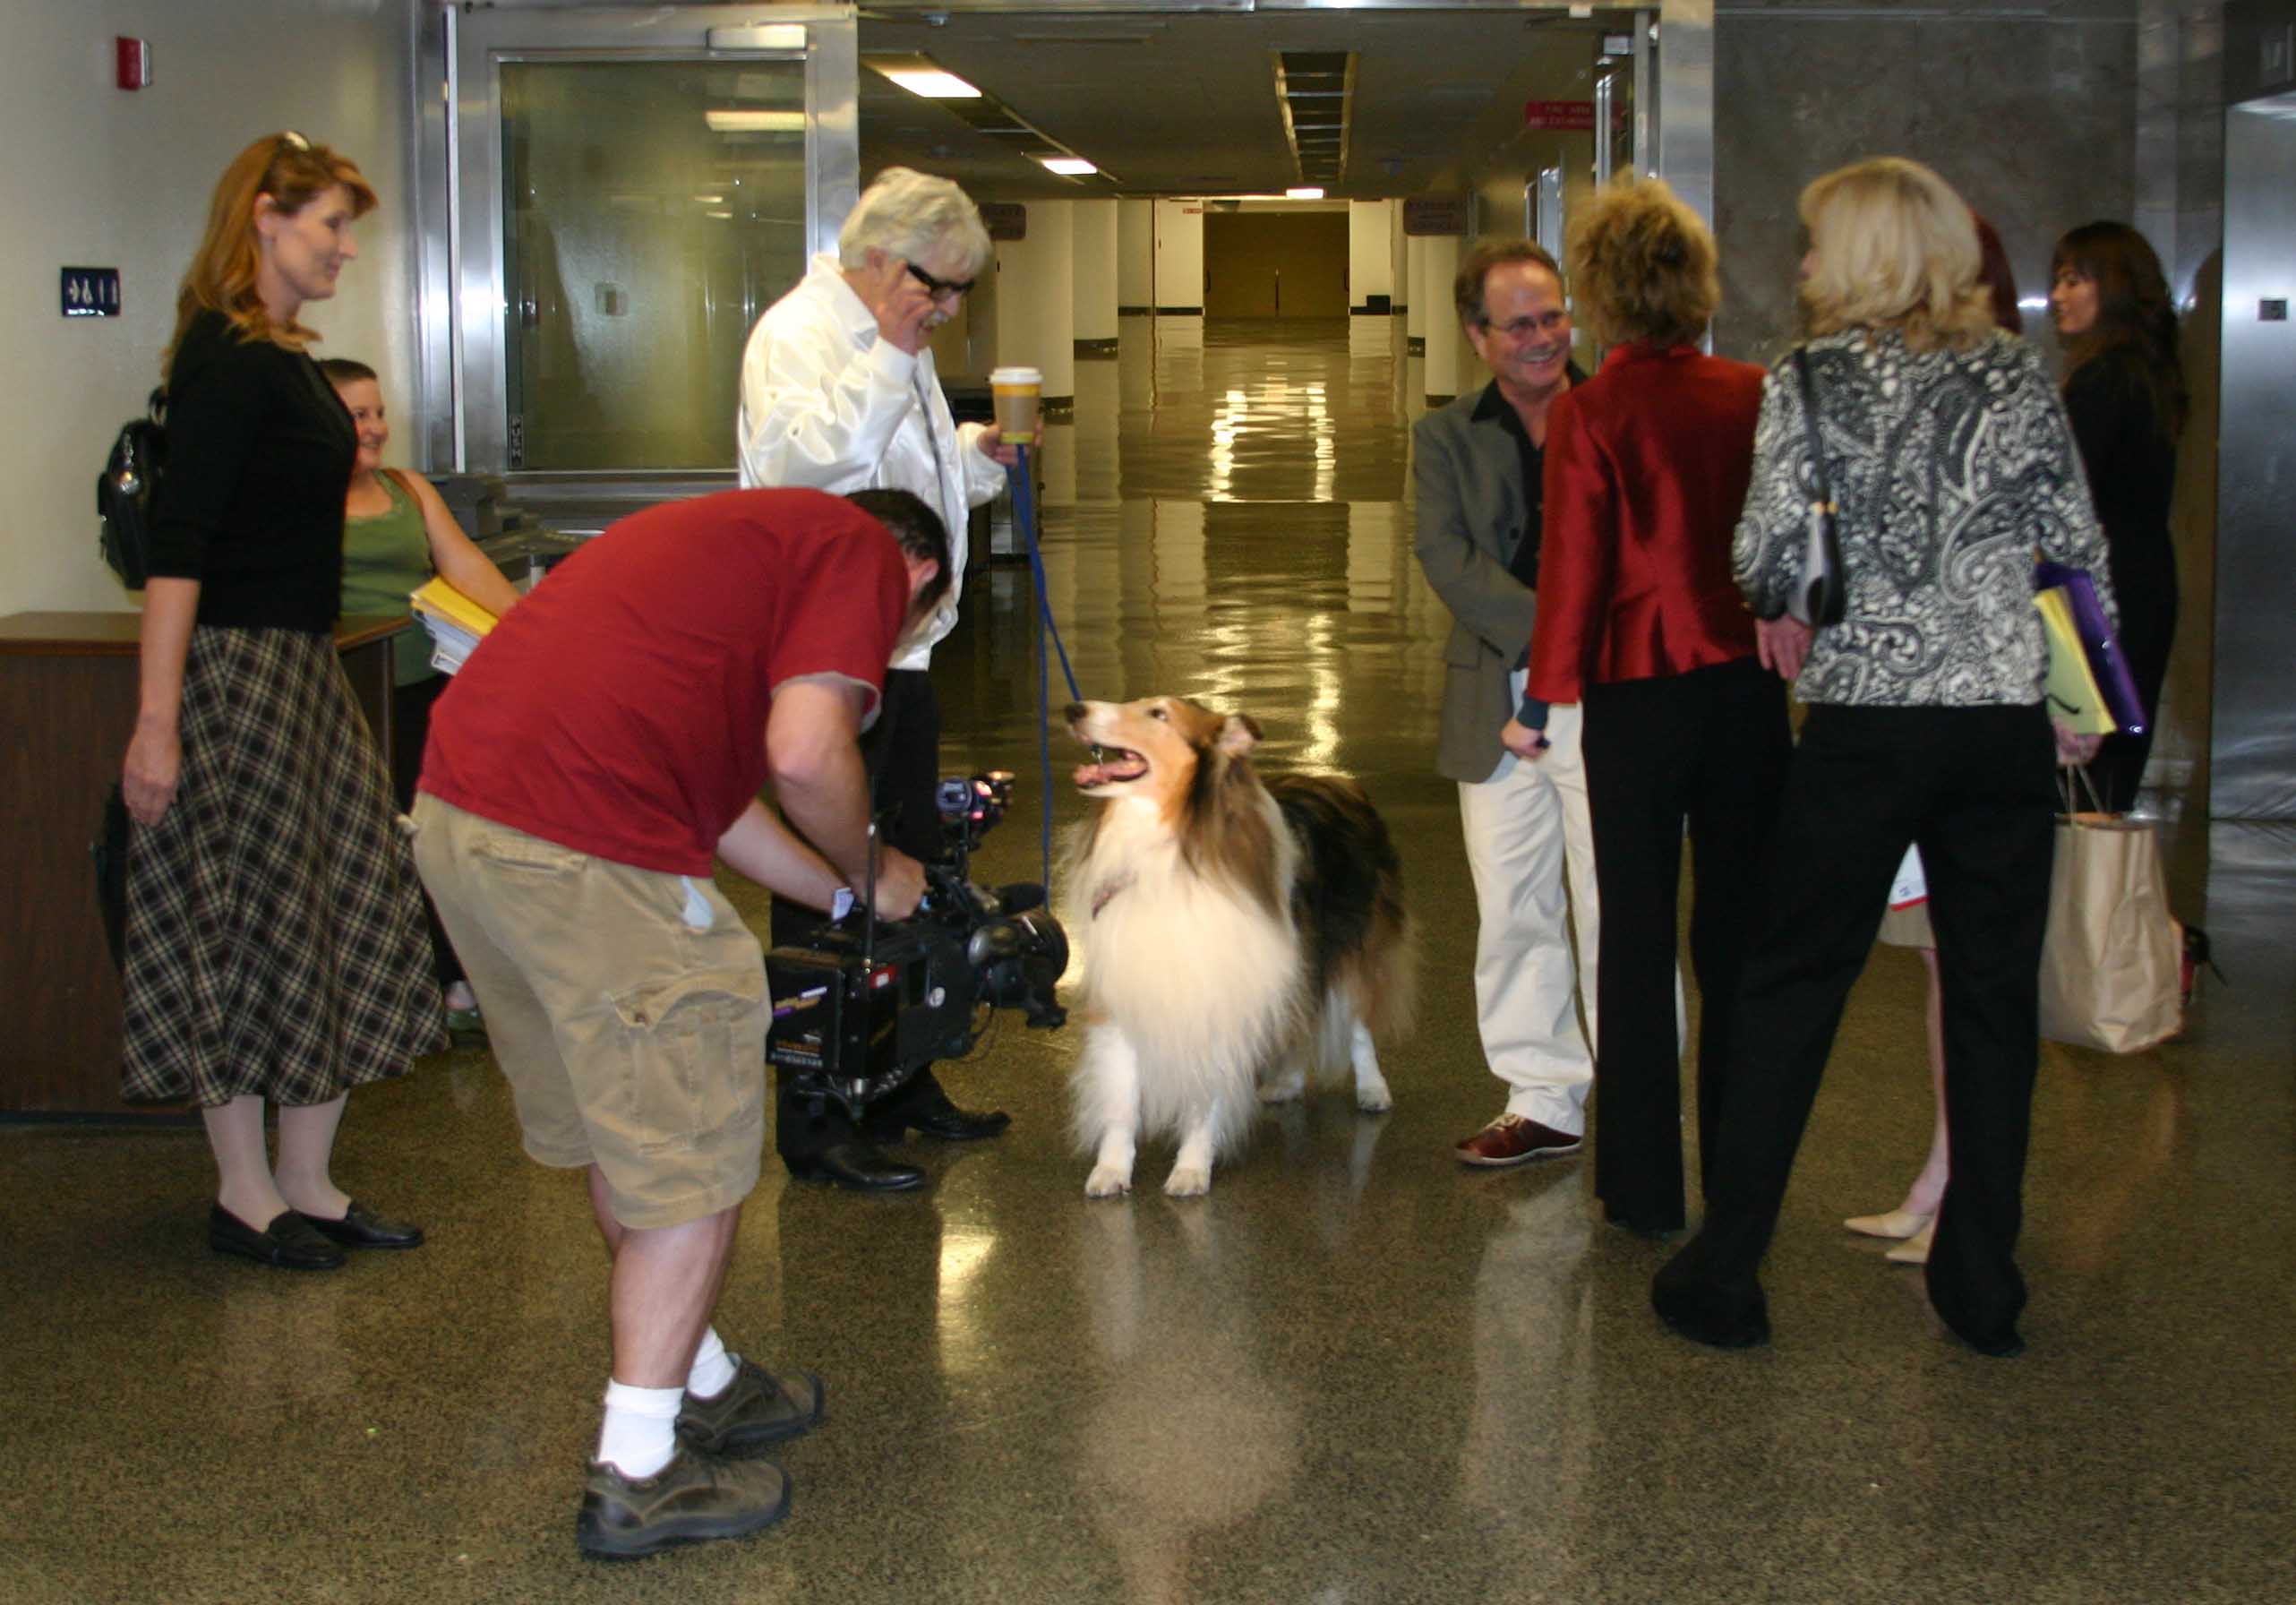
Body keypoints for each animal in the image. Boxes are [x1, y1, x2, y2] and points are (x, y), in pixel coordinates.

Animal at [1060, 698, 1414, 1203]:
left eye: (1158, 714)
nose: (1074, 709)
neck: (1172, 851)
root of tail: (1341, 782)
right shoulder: (1126, 991)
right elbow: (1122, 1096)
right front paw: (1111, 1170)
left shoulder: (1222, 993)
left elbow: (1206, 1096)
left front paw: (1192, 1168)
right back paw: (1286, 1082)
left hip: (1350, 948)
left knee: (1357, 1024)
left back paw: (1372, 1089)